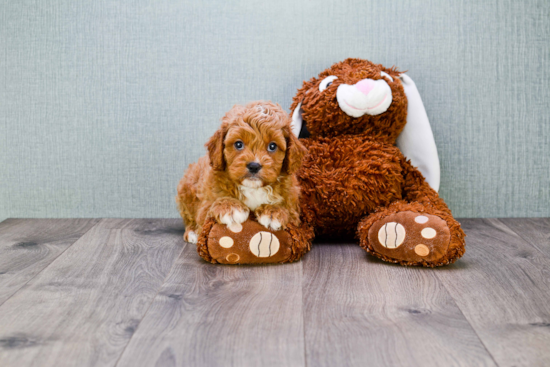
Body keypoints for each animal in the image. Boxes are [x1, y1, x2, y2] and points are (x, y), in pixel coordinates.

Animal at [177, 100, 306, 244]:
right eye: (238, 144)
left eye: (272, 146)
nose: (254, 166)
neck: (253, 188)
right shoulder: (205, 205)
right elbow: (210, 209)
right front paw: (229, 207)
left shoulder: (294, 210)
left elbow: (289, 212)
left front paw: (274, 211)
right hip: (186, 191)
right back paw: (191, 233)